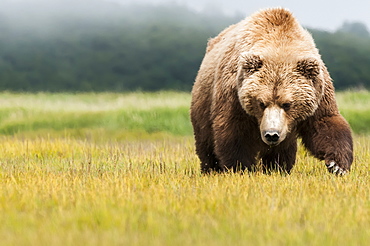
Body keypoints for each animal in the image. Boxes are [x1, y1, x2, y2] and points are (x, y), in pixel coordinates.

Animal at [191, 7, 352, 175]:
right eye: (261, 103)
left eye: (287, 104)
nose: (272, 135)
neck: (278, 44)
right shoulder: (235, 94)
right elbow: (234, 132)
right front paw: (241, 168)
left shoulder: (318, 92)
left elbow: (325, 122)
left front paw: (337, 165)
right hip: (204, 102)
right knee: (206, 142)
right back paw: (210, 169)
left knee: (282, 150)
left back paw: (278, 168)